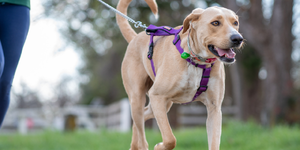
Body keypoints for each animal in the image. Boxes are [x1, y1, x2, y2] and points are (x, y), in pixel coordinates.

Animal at [116, 0, 243, 149]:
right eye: (215, 23)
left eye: (235, 23)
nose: (238, 38)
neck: (196, 61)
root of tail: (136, 37)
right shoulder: (157, 96)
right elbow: (170, 139)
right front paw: (159, 146)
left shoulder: (214, 108)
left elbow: (214, 142)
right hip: (138, 98)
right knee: (141, 132)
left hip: (161, 105)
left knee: (142, 118)